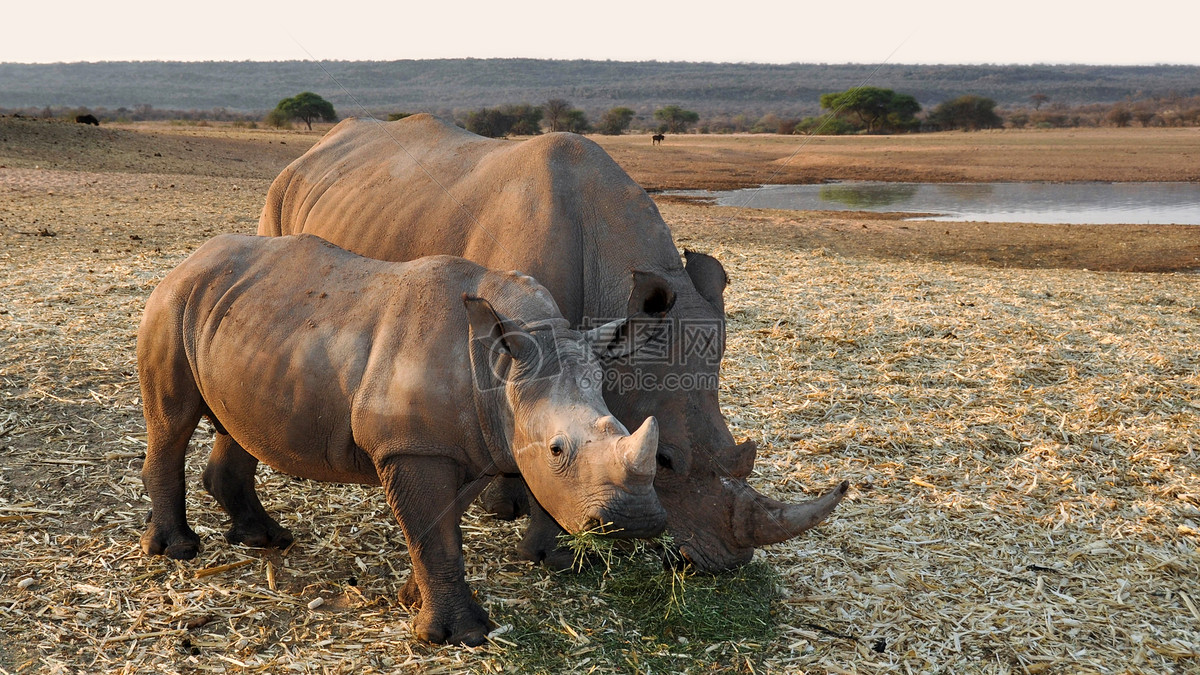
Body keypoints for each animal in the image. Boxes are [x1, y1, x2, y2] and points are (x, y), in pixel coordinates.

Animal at [138, 234, 676, 643]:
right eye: (556, 450)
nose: (636, 522)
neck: (504, 370)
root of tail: (189, 258)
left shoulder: (466, 442)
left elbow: (443, 523)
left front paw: (413, 598)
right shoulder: (412, 447)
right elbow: (432, 531)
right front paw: (461, 636)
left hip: (242, 321)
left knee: (238, 424)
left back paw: (266, 539)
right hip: (173, 303)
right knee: (172, 422)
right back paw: (178, 551)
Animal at [258, 112, 849, 569]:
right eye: (665, 463)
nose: (729, 562)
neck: (615, 282)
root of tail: (318, 146)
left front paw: (524, 517)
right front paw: (542, 546)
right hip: (280, 193)